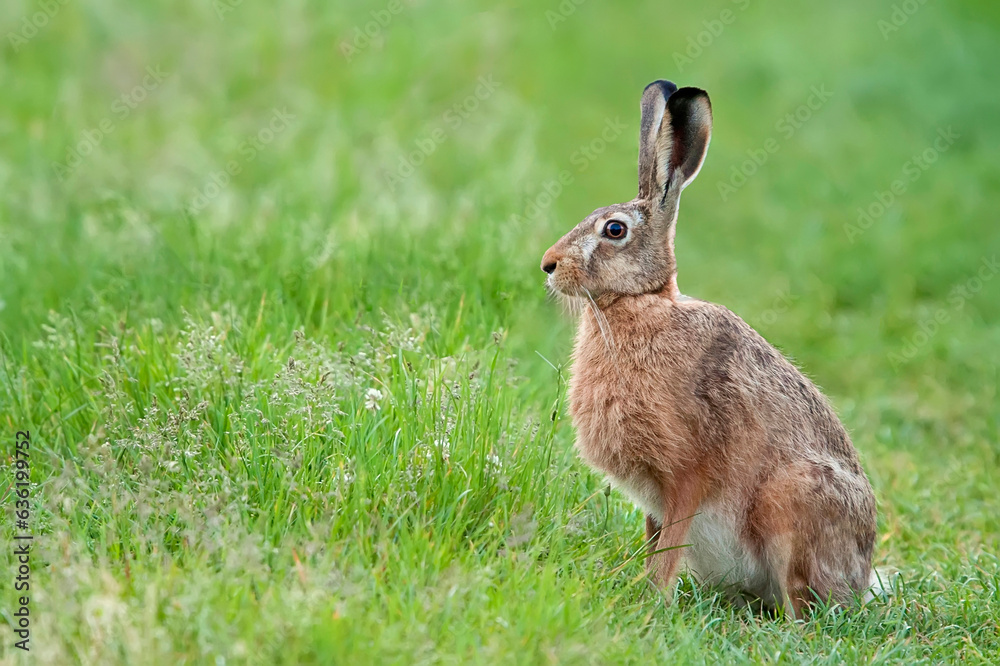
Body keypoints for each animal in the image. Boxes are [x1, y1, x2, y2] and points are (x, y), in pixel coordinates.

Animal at [540, 80, 879, 617]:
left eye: (614, 230)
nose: (548, 265)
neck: (642, 303)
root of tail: (861, 579)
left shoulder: (686, 473)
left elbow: (669, 547)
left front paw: (650, 601)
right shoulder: (653, 499)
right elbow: (654, 540)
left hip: (793, 498)